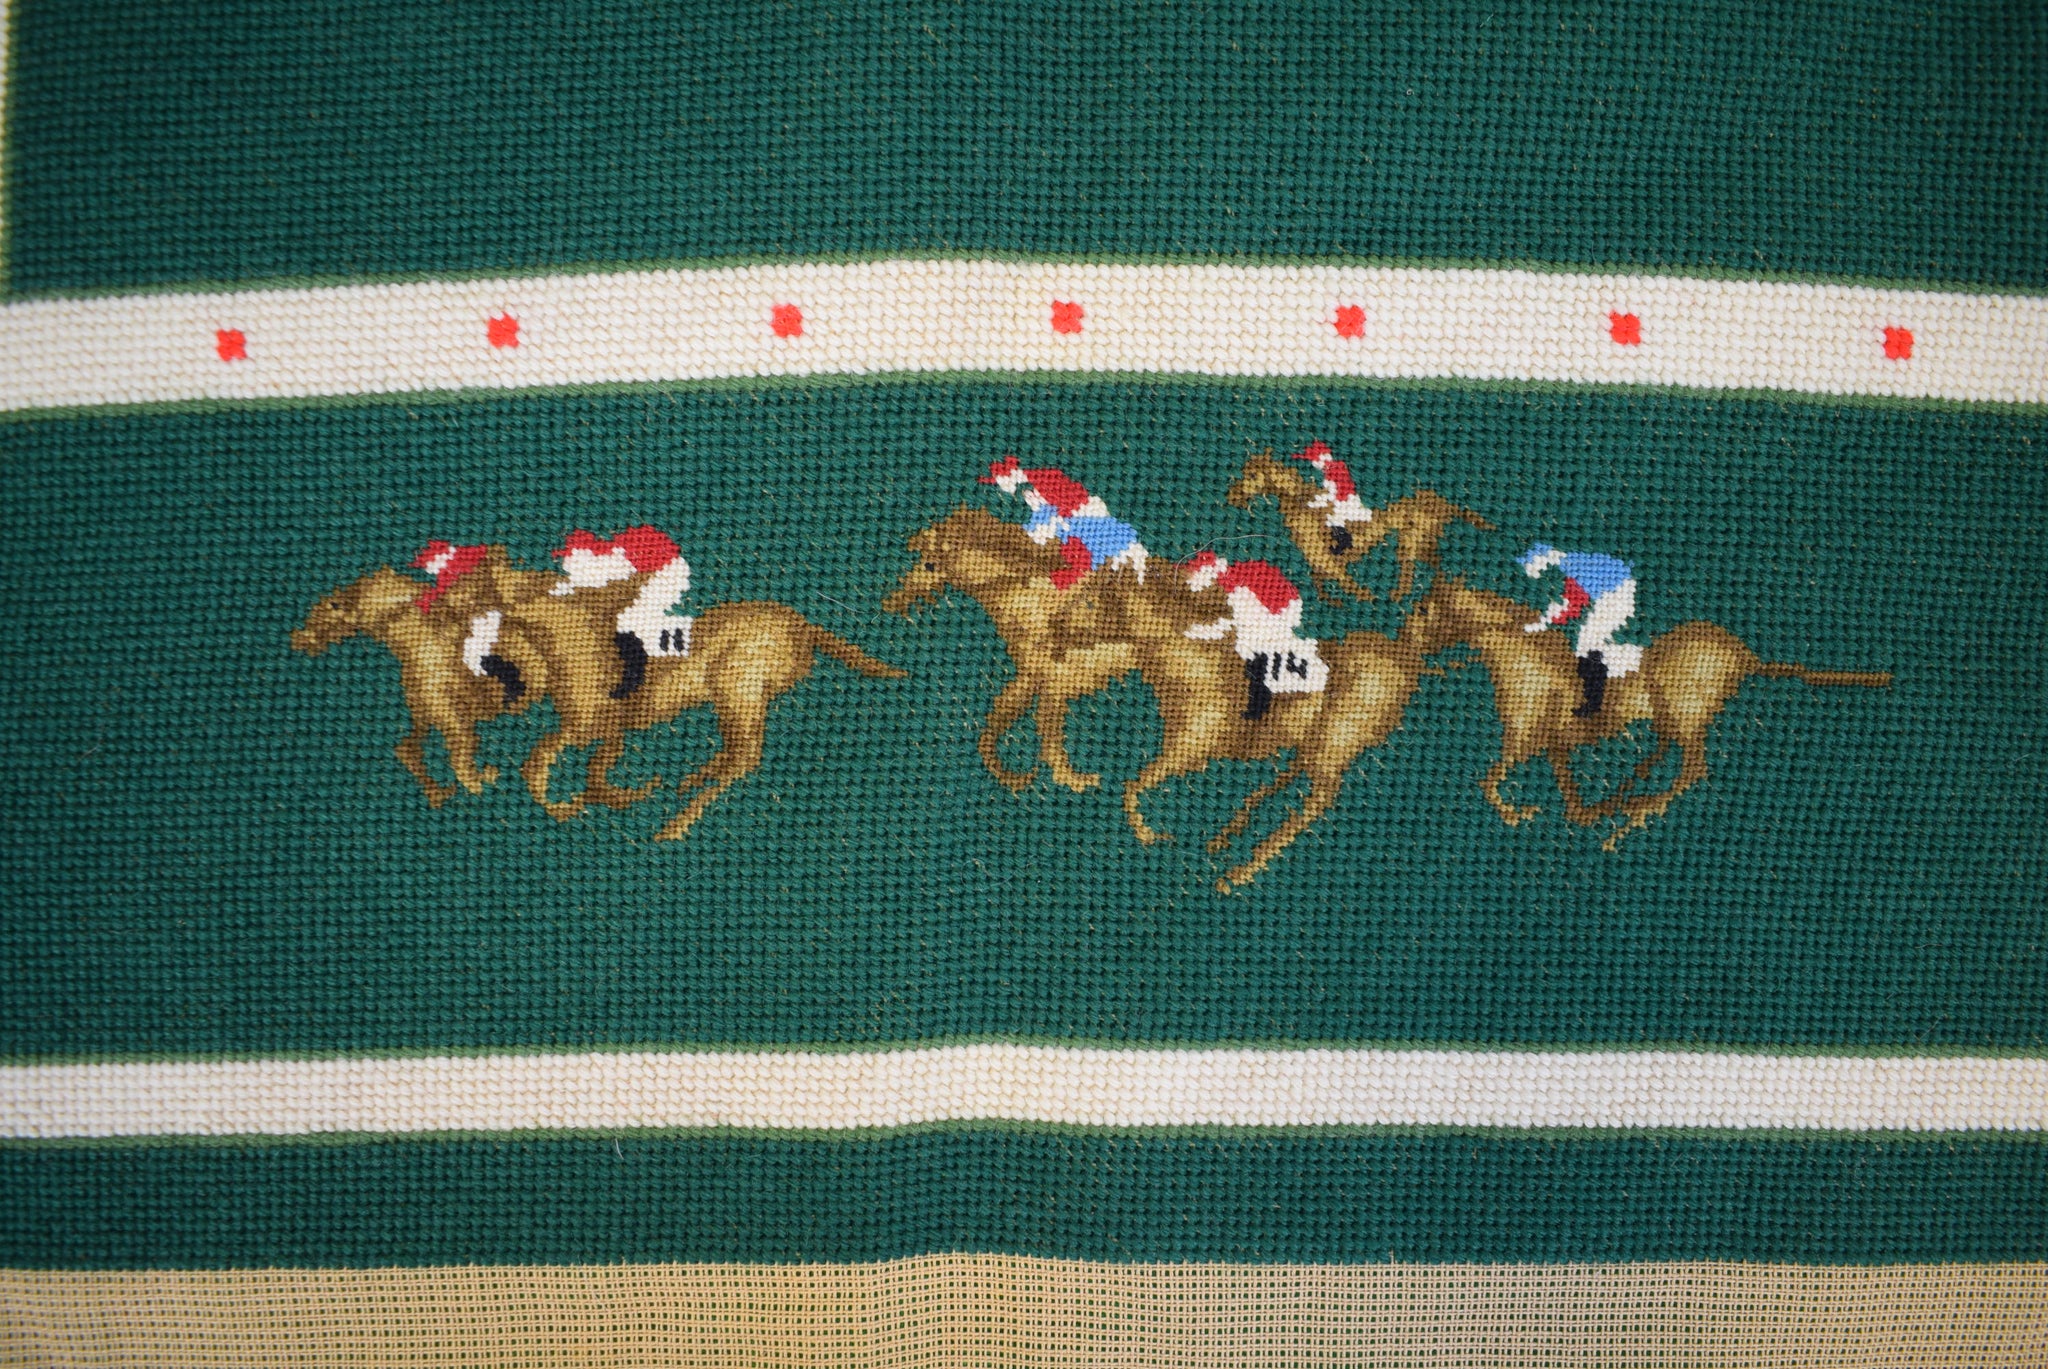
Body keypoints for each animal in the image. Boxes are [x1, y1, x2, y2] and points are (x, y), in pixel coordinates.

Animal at [289, 553, 552, 806]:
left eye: (332, 606)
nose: (300, 640)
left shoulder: (453, 720)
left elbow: (460, 760)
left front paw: (478, 781)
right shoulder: (433, 717)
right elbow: (413, 751)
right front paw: (445, 791)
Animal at [1225, 450, 1495, 602]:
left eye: (1252, 475)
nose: (1232, 497)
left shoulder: (1326, 560)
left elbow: (1346, 583)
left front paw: (1365, 597)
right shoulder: (1320, 562)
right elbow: (1319, 581)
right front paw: (1334, 601)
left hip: (1410, 544)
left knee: (1410, 572)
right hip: (1423, 545)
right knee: (1434, 567)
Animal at [1401, 578, 1893, 848]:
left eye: (1424, 610)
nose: (1408, 646)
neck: (1524, 661)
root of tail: (1742, 656)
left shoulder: (1527, 743)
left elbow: (1492, 783)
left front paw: (1520, 814)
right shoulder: (1553, 746)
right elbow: (1568, 801)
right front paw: (1592, 809)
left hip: (1684, 716)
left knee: (1691, 767)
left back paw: (1636, 810)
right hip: (1674, 718)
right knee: (1666, 756)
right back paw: (1627, 797)